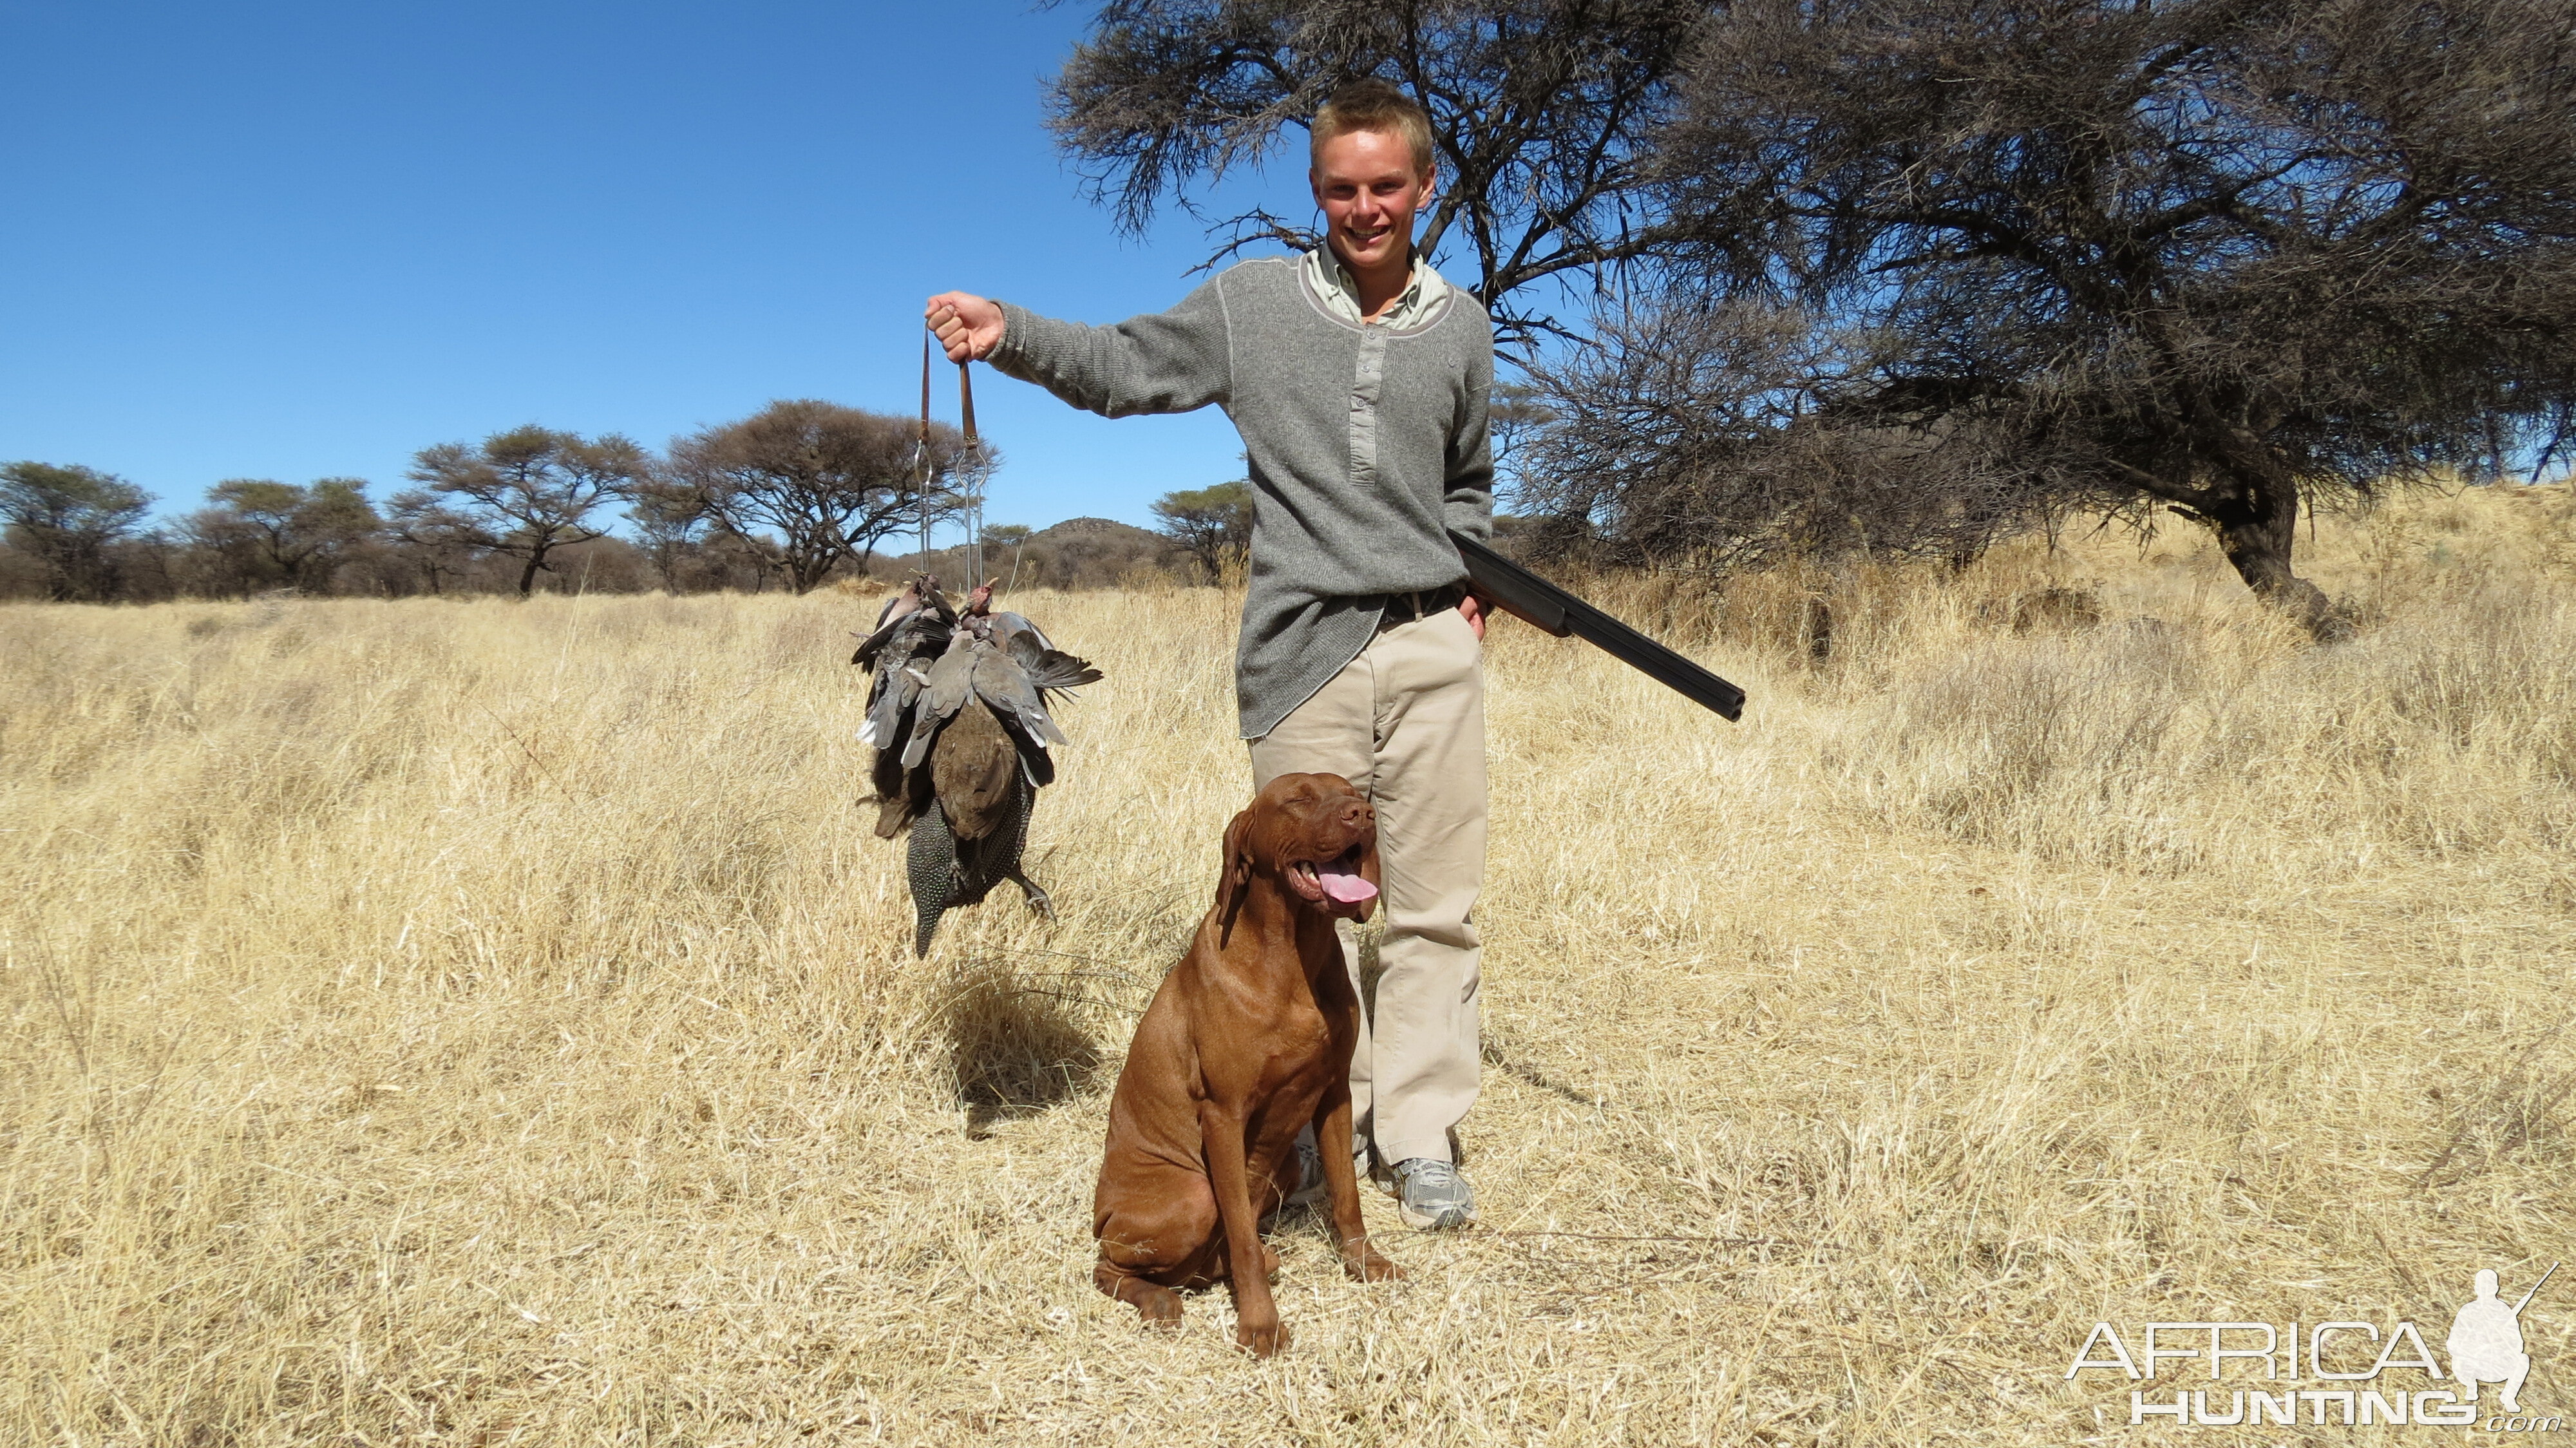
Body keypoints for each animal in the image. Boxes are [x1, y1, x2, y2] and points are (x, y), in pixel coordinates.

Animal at [1092, 773, 1401, 1350]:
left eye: (1351, 791)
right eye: (1298, 798)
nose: (1363, 815)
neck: (1292, 957)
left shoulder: (1335, 1095)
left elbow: (1348, 1199)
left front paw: (1365, 1263)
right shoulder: (1223, 1116)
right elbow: (1240, 1233)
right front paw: (1260, 1322)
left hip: (1283, 1164)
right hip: (1192, 1195)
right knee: (1110, 1268)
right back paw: (1158, 1299)